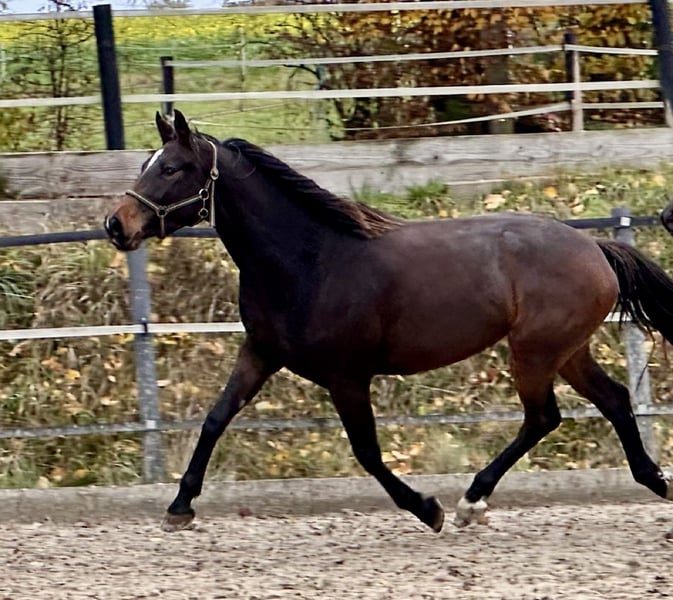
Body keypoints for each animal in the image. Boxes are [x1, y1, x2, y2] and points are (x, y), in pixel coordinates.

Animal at [105, 109, 673, 533]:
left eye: (172, 168)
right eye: (148, 163)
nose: (116, 224)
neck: (310, 261)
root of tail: (594, 248)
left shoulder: (347, 377)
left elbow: (367, 452)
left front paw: (428, 508)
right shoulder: (261, 354)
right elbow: (216, 418)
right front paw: (179, 507)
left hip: (534, 352)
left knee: (543, 418)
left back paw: (470, 502)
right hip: (566, 351)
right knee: (612, 399)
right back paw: (655, 480)